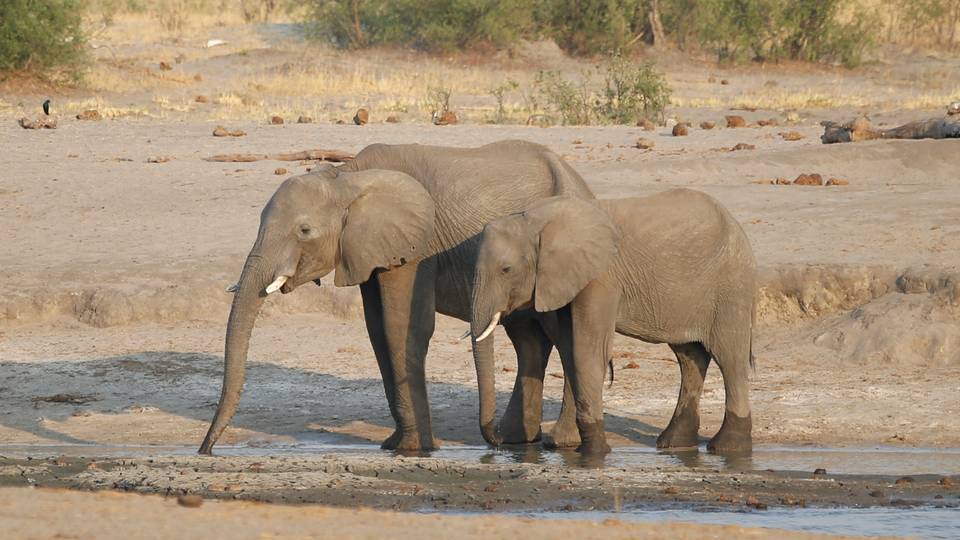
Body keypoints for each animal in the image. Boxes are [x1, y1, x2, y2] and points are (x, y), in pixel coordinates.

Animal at [199, 141, 595, 455]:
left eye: (304, 230)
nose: (205, 450)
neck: (347, 177)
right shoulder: (369, 249)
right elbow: (377, 329)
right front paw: (393, 445)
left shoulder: (415, 247)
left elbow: (401, 326)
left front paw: (414, 449)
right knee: (528, 338)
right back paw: (516, 440)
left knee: (565, 338)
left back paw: (558, 442)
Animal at [469, 189, 757, 454]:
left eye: (506, 270)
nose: (498, 441)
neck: (535, 221)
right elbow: (570, 350)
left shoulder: (601, 278)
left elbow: (588, 351)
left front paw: (594, 453)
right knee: (690, 356)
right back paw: (673, 444)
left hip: (731, 286)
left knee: (729, 357)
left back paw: (727, 447)